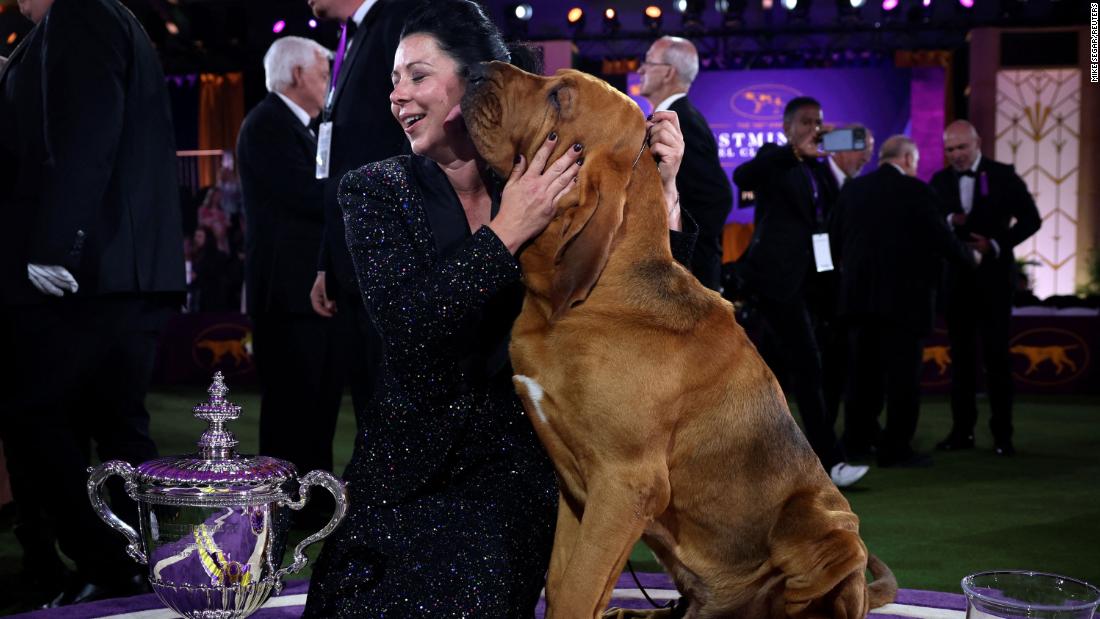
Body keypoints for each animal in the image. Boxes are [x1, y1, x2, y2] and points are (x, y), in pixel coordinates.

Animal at [462, 62, 893, 619]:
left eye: (559, 96)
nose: (475, 70)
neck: (601, 292)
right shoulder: (574, 488)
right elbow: (562, 588)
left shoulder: (624, 485)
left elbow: (578, 591)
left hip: (827, 526)